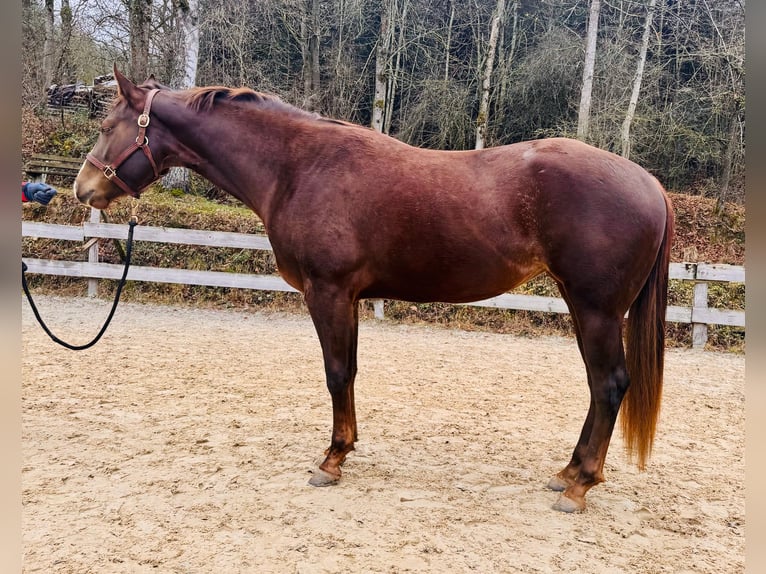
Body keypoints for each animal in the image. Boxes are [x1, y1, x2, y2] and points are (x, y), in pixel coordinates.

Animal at [74, 66, 674, 513]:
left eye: (106, 123)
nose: (83, 190)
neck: (298, 167)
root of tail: (650, 184)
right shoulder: (350, 298)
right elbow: (352, 371)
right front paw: (347, 449)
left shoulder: (327, 292)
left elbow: (336, 373)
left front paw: (331, 460)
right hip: (581, 305)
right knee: (598, 387)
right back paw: (567, 472)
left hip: (597, 310)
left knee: (609, 385)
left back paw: (580, 486)